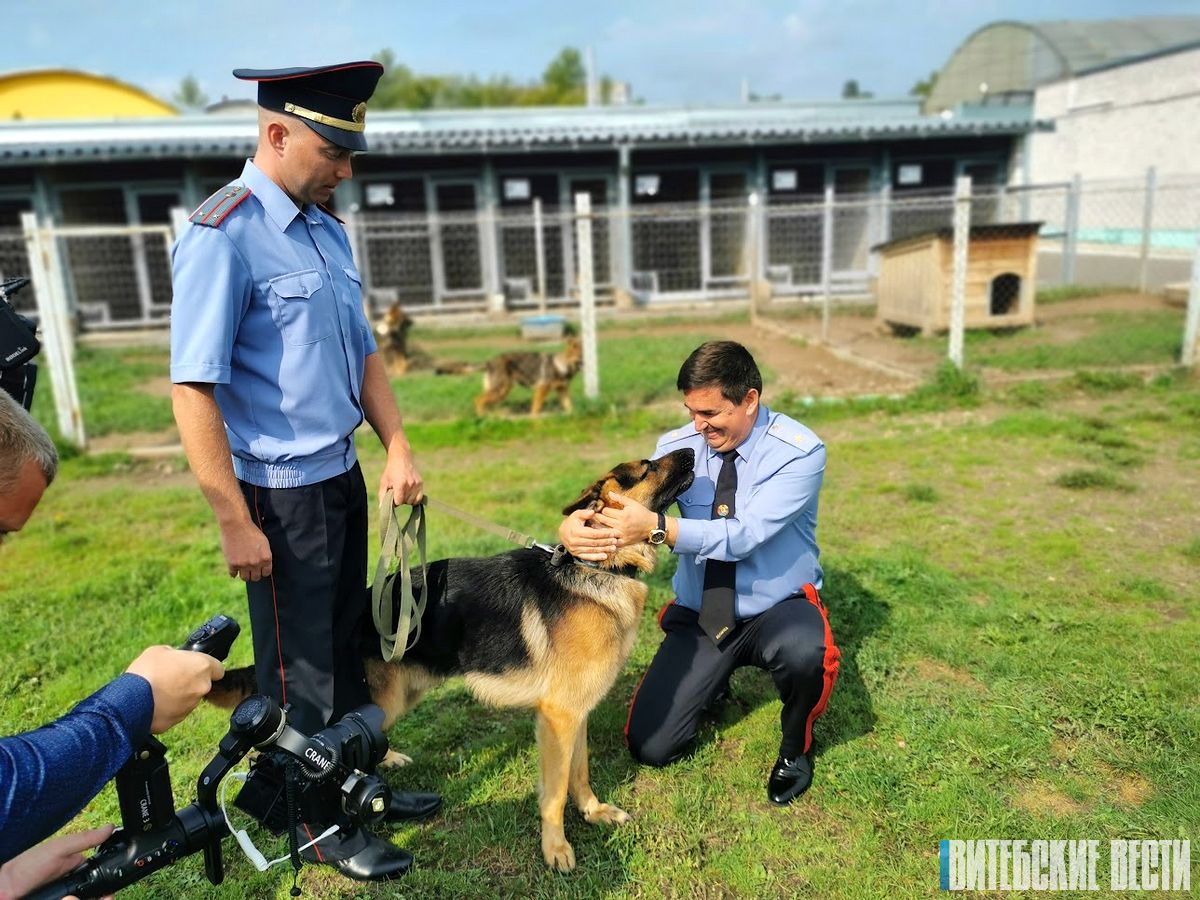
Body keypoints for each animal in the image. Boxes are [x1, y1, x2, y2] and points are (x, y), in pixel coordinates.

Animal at [206, 448, 696, 868]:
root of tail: (356, 607)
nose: (693, 450)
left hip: (399, 694)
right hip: (386, 698)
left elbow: (580, 773)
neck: (596, 567)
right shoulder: (558, 718)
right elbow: (555, 792)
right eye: (648, 466)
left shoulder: (576, 714)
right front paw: (555, 848)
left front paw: (593, 812)